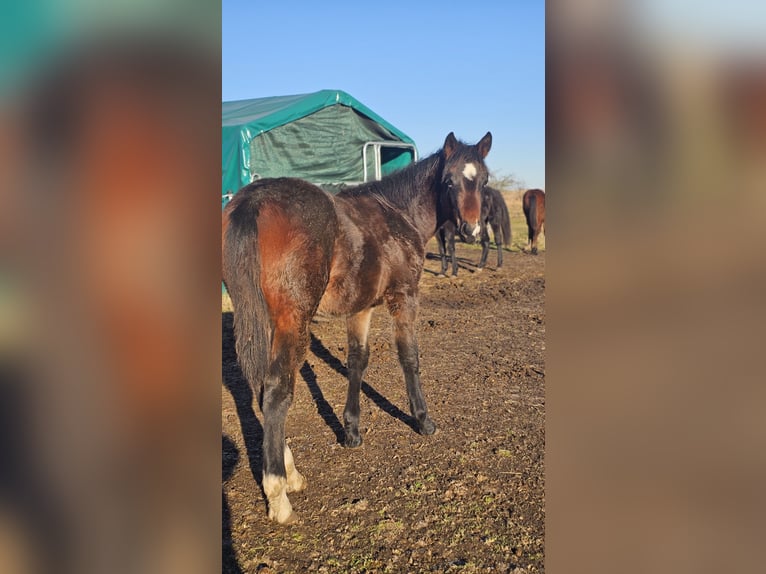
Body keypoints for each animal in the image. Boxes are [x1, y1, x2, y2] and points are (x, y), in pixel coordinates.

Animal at [222, 131, 492, 524]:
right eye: (449, 181)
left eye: (484, 181)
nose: (471, 230)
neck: (399, 214)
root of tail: (253, 201)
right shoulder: (404, 297)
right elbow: (409, 358)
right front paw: (423, 420)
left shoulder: (360, 308)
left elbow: (356, 362)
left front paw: (351, 431)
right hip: (292, 321)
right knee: (275, 392)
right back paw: (278, 492)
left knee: (261, 387)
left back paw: (289, 471)